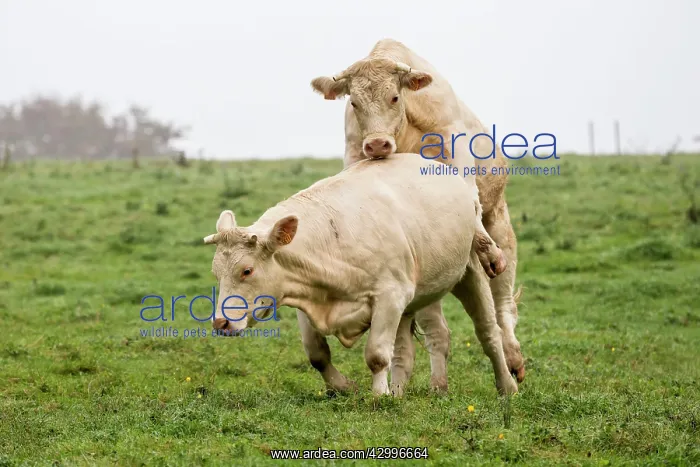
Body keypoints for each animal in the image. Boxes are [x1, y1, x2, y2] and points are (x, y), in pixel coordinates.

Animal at [204, 153, 518, 397]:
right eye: (216, 273)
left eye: (247, 270)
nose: (220, 322)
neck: (330, 240)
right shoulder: (304, 297)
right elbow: (317, 355)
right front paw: (345, 387)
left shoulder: (389, 296)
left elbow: (377, 355)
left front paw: (378, 396)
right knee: (418, 345)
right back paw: (413, 390)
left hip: (470, 273)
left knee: (489, 332)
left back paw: (507, 386)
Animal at [309, 39, 525, 391]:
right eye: (354, 102)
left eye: (395, 97)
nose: (377, 144)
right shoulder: (355, 154)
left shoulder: (456, 150)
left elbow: (470, 200)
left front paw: (486, 249)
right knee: (436, 329)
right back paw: (436, 384)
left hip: (500, 218)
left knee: (503, 304)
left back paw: (514, 360)